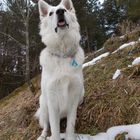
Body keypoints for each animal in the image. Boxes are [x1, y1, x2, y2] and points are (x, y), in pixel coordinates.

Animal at [35, 0, 85, 139]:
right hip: (43, 104)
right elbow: (54, 129)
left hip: (82, 94)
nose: (60, 11)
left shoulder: (74, 95)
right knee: (46, 125)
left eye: (65, 10)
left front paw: (70, 136)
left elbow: (70, 124)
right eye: (51, 13)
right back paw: (43, 135)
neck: (62, 54)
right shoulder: (52, 101)